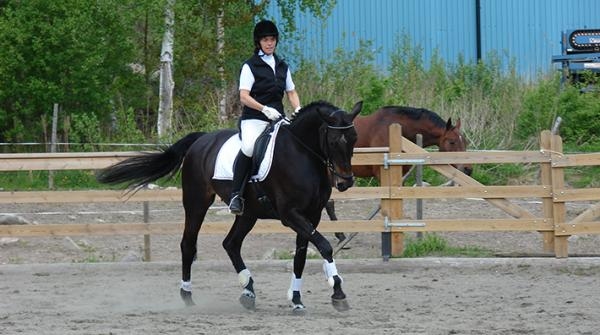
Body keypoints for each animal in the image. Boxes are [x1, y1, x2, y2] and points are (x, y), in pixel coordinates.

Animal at [97, 101, 360, 314]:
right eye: (334, 141)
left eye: (354, 139)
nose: (345, 182)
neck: (302, 153)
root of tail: (202, 139)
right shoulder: (290, 215)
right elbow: (325, 246)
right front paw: (338, 292)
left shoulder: (311, 216)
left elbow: (301, 257)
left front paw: (296, 300)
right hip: (196, 202)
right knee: (188, 245)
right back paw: (188, 296)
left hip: (248, 213)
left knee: (231, 244)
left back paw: (248, 291)